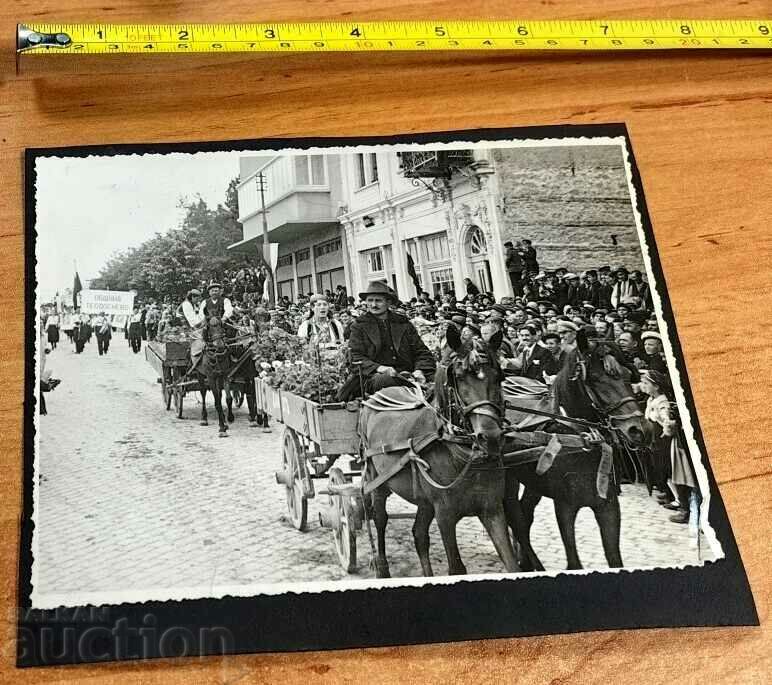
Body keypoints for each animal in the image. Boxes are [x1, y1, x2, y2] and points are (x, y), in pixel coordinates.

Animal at [360, 326, 520, 576]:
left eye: (499, 377)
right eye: (459, 377)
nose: (491, 437)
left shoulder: (492, 509)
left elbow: (511, 563)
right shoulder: (445, 514)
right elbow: (456, 567)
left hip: (424, 501)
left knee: (419, 535)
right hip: (378, 481)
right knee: (379, 519)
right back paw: (382, 567)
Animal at [504, 338, 648, 572]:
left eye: (628, 375)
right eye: (596, 379)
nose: (640, 430)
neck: (583, 440)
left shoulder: (608, 506)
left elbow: (614, 558)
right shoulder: (564, 506)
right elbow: (574, 562)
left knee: (524, 515)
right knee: (515, 519)